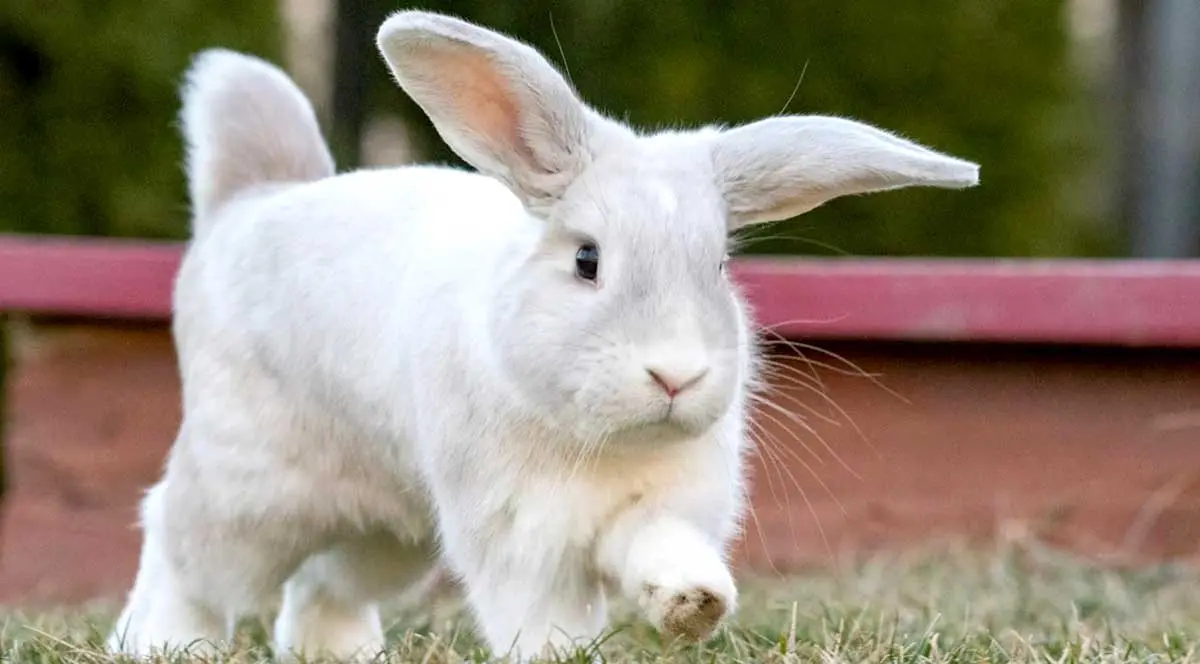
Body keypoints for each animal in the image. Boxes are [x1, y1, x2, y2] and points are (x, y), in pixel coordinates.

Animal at [108, 7, 979, 657]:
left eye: (719, 264)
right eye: (587, 260)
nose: (675, 376)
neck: (598, 438)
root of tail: (245, 204)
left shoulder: (657, 508)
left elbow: (660, 550)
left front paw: (694, 604)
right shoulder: (520, 538)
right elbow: (541, 619)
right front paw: (568, 651)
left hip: (391, 530)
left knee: (323, 584)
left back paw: (341, 652)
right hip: (250, 489)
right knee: (178, 544)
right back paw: (158, 642)